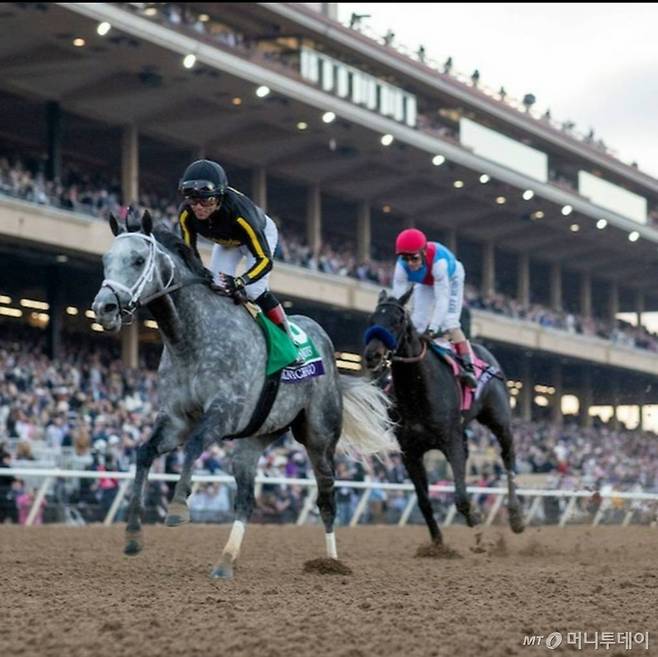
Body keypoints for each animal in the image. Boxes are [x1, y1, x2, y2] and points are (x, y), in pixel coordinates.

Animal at [89, 213, 392, 576]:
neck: (190, 340)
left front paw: (177, 507)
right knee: (246, 500)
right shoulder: (175, 419)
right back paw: (225, 561)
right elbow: (144, 452)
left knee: (326, 497)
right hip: (254, 439)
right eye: (105, 260)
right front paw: (133, 533)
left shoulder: (224, 412)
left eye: (137, 260)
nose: (104, 308)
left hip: (320, 437)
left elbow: (193, 446)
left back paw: (331, 563)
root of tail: (328, 349)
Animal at [358, 288, 524, 544]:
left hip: (499, 419)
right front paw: (437, 543)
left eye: (397, 321)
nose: (372, 355)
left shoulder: (451, 441)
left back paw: (515, 516)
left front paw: (475, 517)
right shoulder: (410, 452)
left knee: (508, 457)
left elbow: (461, 498)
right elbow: (424, 501)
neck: (417, 392)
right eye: (371, 319)